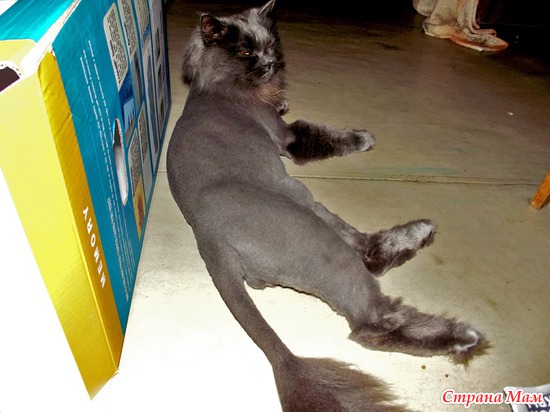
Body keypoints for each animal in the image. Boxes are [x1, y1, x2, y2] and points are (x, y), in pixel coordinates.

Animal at [167, 1, 489, 410]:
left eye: (272, 43)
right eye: (245, 51)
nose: (271, 62)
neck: (215, 87)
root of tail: (210, 242)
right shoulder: (288, 137)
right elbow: (325, 135)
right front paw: (364, 138)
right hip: (308, 215)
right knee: (370, 309)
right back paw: (461, 332)